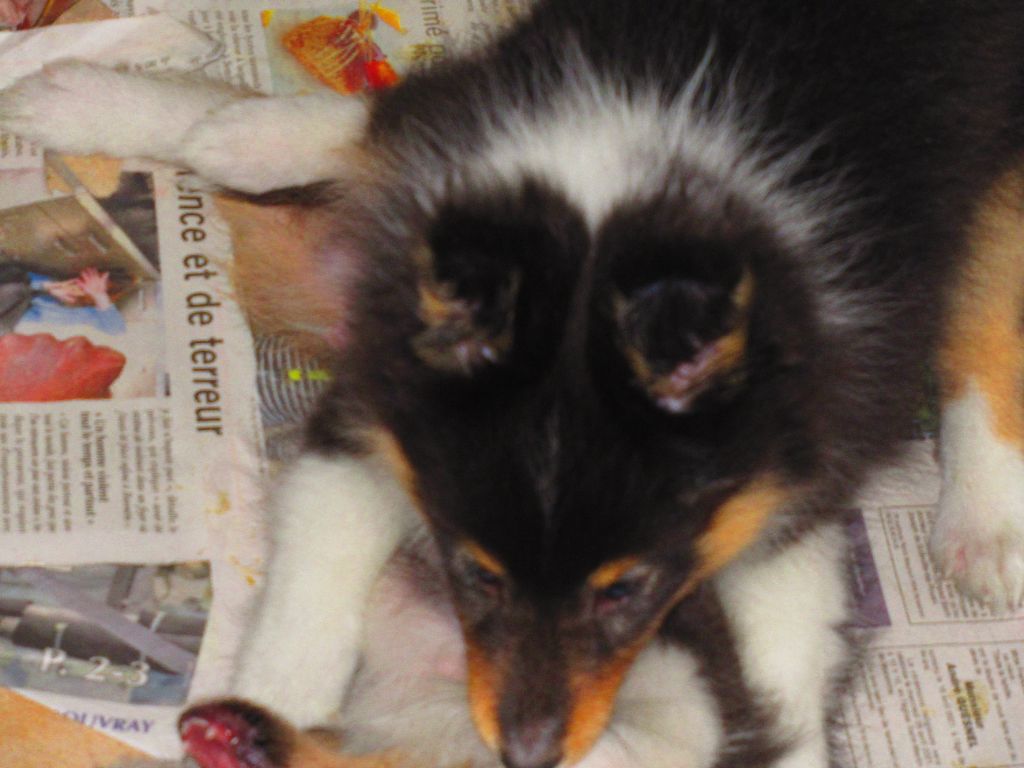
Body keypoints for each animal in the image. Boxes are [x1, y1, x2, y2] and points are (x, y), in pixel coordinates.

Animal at [3, 1, 1024, 767]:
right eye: (472, 574)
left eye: (629, 592)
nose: (528, 753)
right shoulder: (377, 406)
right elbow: (313, 578)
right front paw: (276, 691)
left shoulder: (795, 478)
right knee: (379, 116)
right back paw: (138, 110)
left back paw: (985, 523)